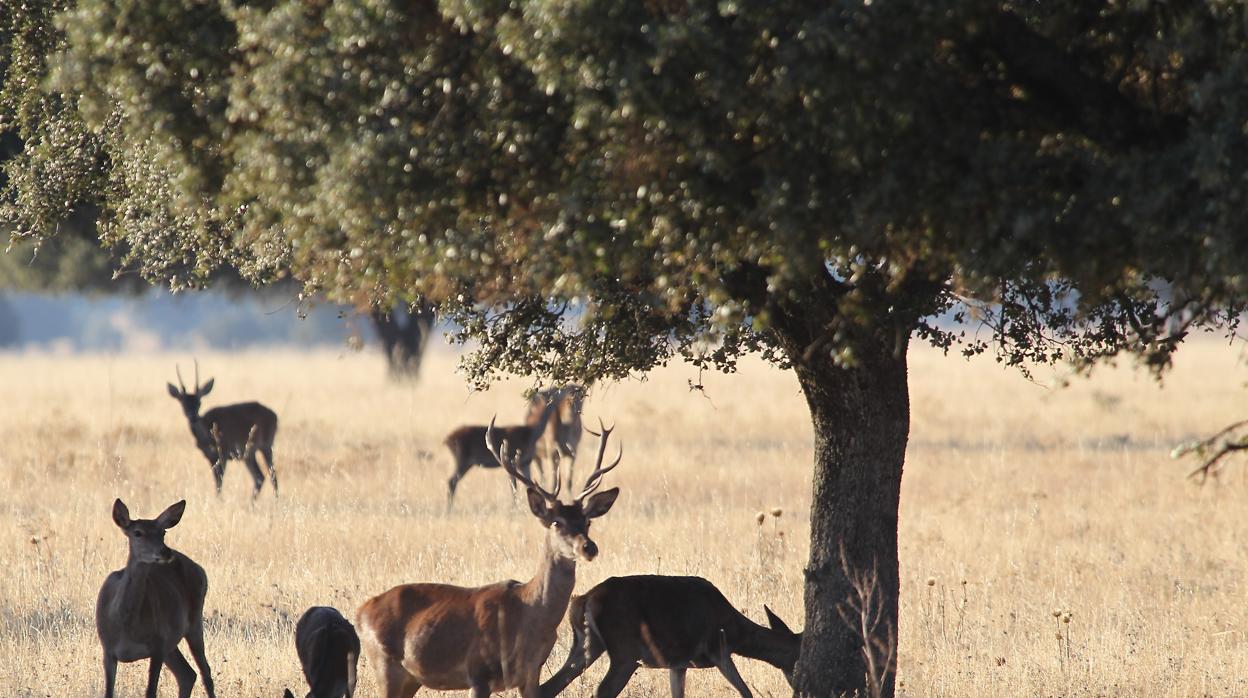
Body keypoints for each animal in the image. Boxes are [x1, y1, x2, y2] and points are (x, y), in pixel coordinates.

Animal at [96, 499, 215, 698]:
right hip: (173, 642)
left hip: (194, 622)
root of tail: (200, 569)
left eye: (163, 532)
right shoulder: (108, 650)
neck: (125, 625)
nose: (166, 552)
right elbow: (108, 693)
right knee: (187, 674)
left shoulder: (158, 644)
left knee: (205, 673)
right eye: (137, 533)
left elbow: (150, 692)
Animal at [167, 362, 279, 499]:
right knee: (259, 476)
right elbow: (217, 480)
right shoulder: (210, 456)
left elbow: (219, 481)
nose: (192, 417)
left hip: (266, 445)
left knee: (272, 474)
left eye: (199, 402)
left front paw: (219, 499)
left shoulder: (223, 453)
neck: (207, 432)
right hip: (249, 454)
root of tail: (275, 415)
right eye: (183, 403)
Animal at [354, 417, 621, 694]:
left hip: (411, 678)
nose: (589, 547)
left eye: (587, 521)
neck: (527, 613)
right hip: (385, 664)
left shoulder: (531, 674)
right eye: (557, 522)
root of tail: (360, 612)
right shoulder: (479, 671)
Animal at [536, 576, 798, 694]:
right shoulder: (718, 648)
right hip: (624, 651)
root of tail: (584, 600)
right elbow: (746, 692)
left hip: (587, 644)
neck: (735, 631)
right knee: (602, 691)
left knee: (549, 687)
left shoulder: (679, 664)